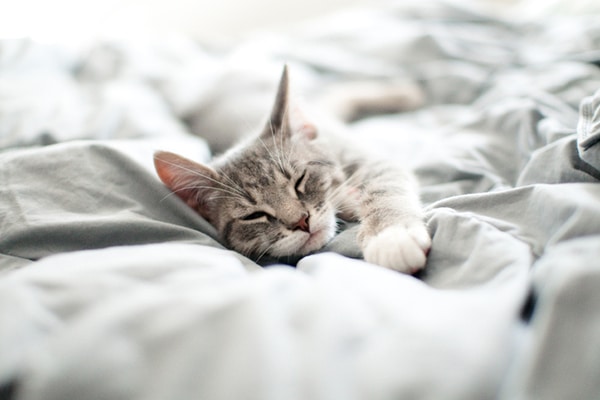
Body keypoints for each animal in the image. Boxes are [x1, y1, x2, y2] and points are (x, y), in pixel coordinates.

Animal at [152, 67, 428, 274]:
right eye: (254, 215)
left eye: (300, 180)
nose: (301, 222)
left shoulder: (371, 161)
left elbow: (384, 190)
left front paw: (391, 236)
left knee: (342, 90)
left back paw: (403, 94)